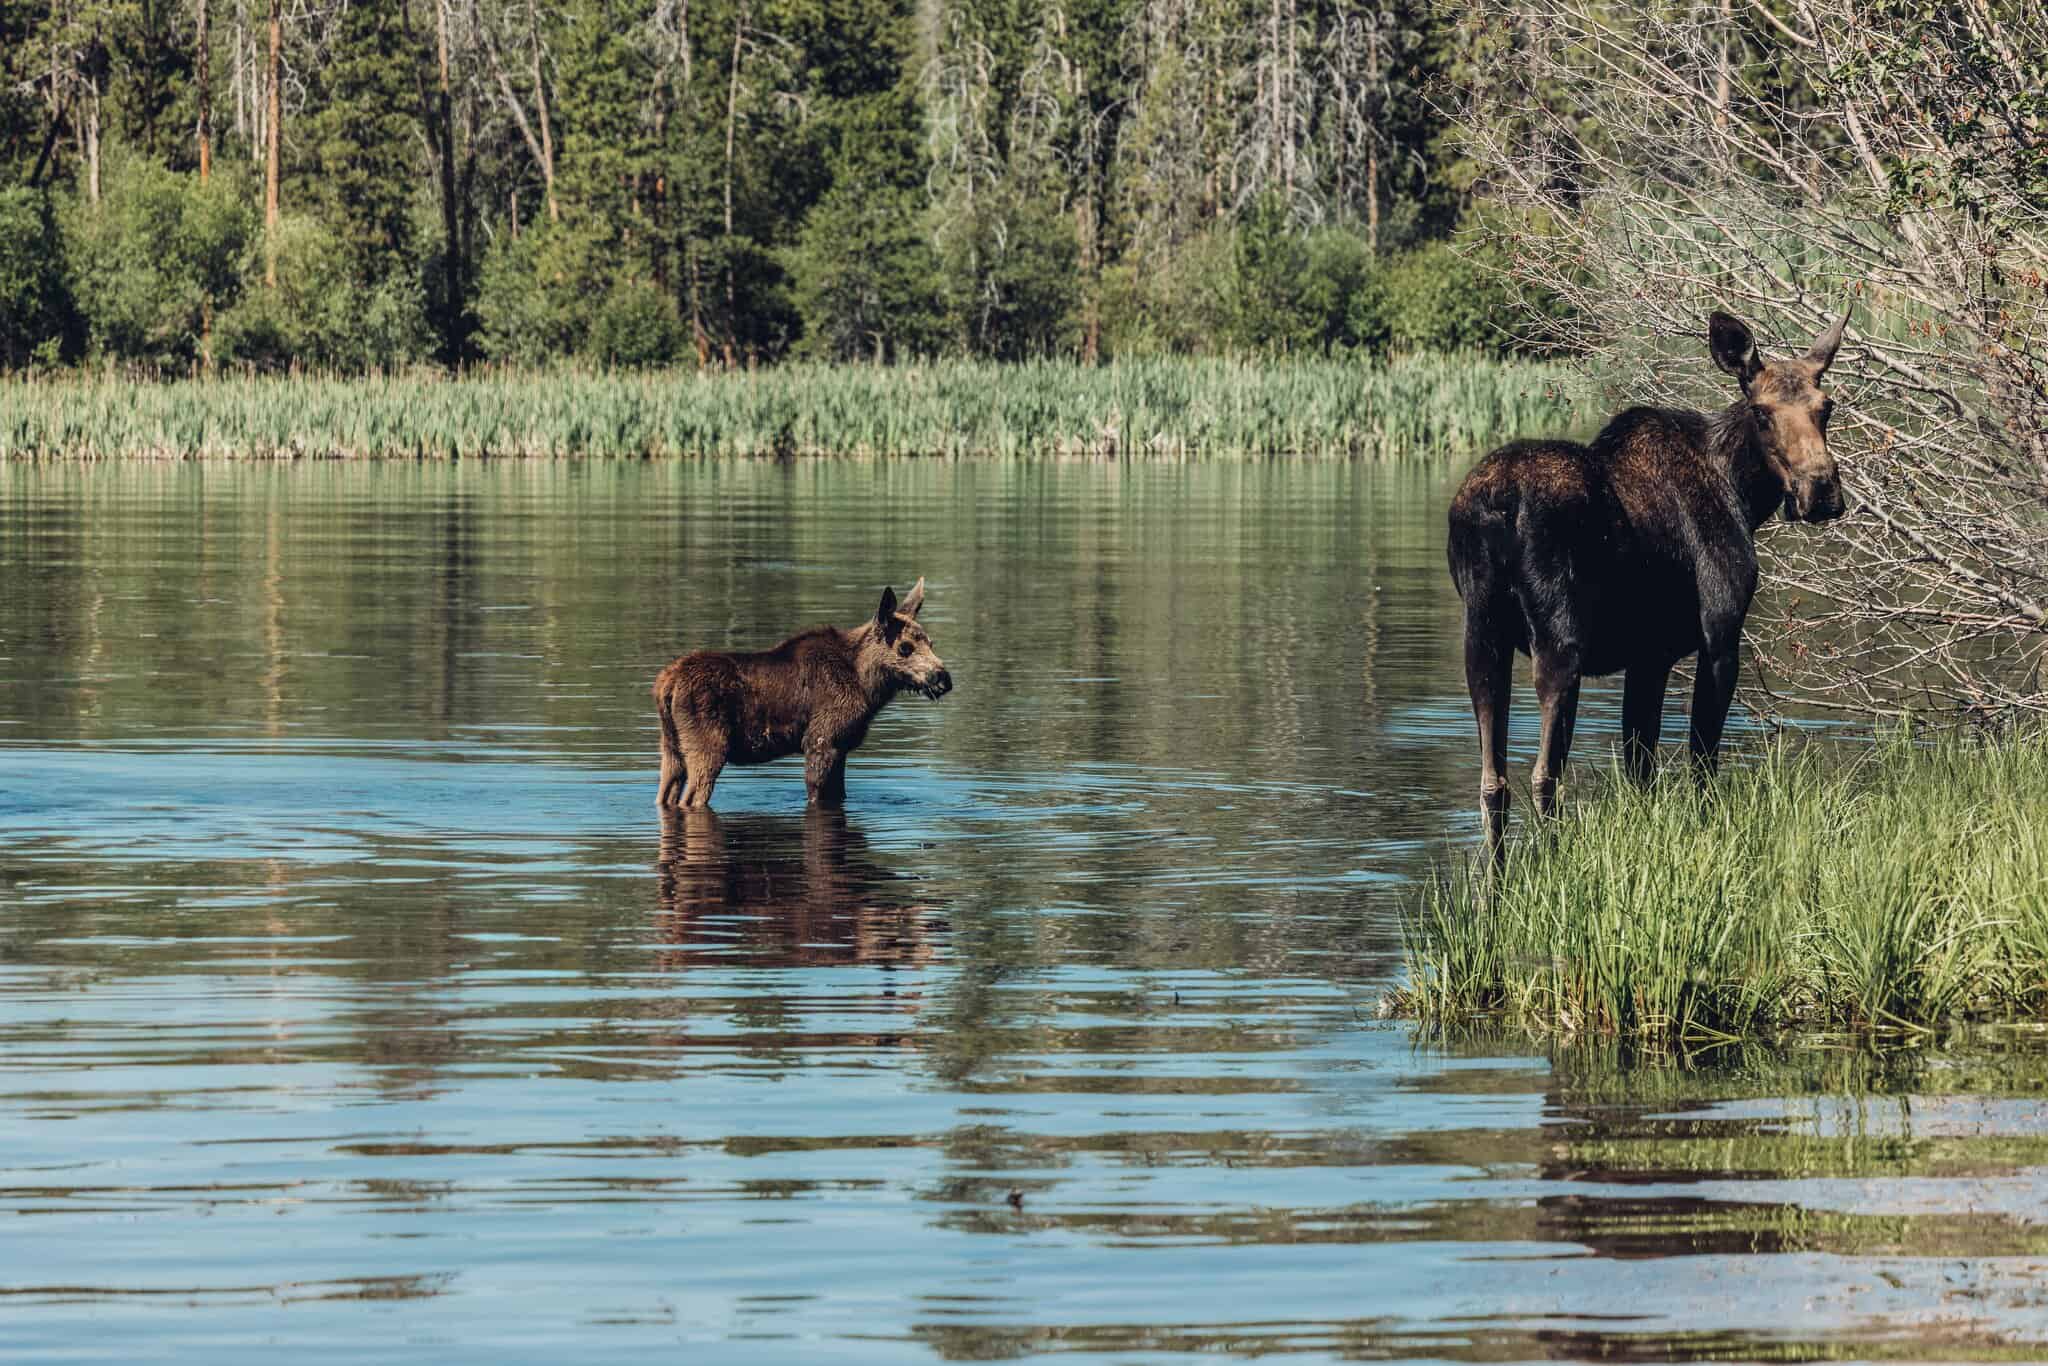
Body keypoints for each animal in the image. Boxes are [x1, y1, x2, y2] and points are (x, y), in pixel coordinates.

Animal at [651, 581, 954, 810]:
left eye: (931, 643)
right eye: (905, 647)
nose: (944, 679)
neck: (868, 686)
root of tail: (666, 685)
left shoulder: (840, 747)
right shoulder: (822, 741)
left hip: (671, 748)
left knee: (665, 795)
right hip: (708, 747)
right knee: (691, 799)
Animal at [1441, 311, 1859, 864]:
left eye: (1826, 407)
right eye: (1762, 413)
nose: (1821, 490)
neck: (1744, 495)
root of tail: (1496, 505)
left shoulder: (1649, 656)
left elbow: (1641, 767)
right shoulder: (1719, 637)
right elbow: (1701, 758)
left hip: (1481, 635)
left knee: (1493, 781)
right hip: (1559, 641)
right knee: (1544, 775)